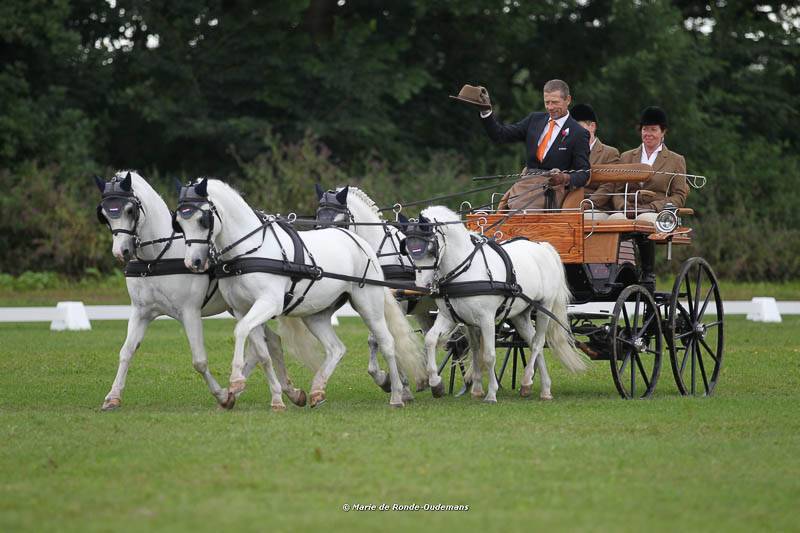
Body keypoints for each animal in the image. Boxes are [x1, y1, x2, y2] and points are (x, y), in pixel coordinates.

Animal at [94, 172, 306, 410]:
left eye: (130, 210)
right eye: (104, 215)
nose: (121, 251)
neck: (158, 256)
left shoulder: (190, 312)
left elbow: (199, 361)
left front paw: (222, 395)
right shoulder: (141, 312)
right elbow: (126, 352)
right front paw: (112, 396)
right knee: (272, 342)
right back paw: (289, 392)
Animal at [175, 177, 424, 406]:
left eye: (202, 220)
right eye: (179, 222)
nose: (193, 262)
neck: (248, 251)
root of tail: (360, 243)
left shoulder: (269, 303)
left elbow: (241, 331)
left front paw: (236, 380)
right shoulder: (241, 309)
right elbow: (261, 351)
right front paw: (277, 398)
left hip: (368, 304)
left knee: (386, 342)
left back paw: (397, 394)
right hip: (316, 314)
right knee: (336, 348)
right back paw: (317, 390)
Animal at [406, 206, 588, 402]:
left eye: (431, 248)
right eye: (408, 249)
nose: (421, 286)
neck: (465, 270)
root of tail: (543, 247)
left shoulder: (486, 319)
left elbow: (488, 355)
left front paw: (491, 393)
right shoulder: (450, 316)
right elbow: (434, 341)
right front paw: (438, 384)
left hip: (544, 308)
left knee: (538, 342)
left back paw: (527, 380)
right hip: (520, 314)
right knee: (532, 341)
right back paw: (543, 388)